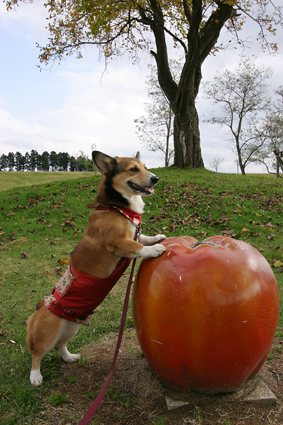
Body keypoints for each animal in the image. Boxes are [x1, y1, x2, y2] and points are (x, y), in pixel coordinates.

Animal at [26, 151, 166, 386]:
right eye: (133, 169)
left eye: (146, 167)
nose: (156, 179)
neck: (117, 207)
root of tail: (38, 309)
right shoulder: (118, 243)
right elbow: (138, 247)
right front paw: (154, 249)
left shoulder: (133, 235)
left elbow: (143, 237)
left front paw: (157, 237)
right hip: (49, 331)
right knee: (38, 353)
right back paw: (35, 377)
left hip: (70, 329)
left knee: (60, 346)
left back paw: (70, 358)